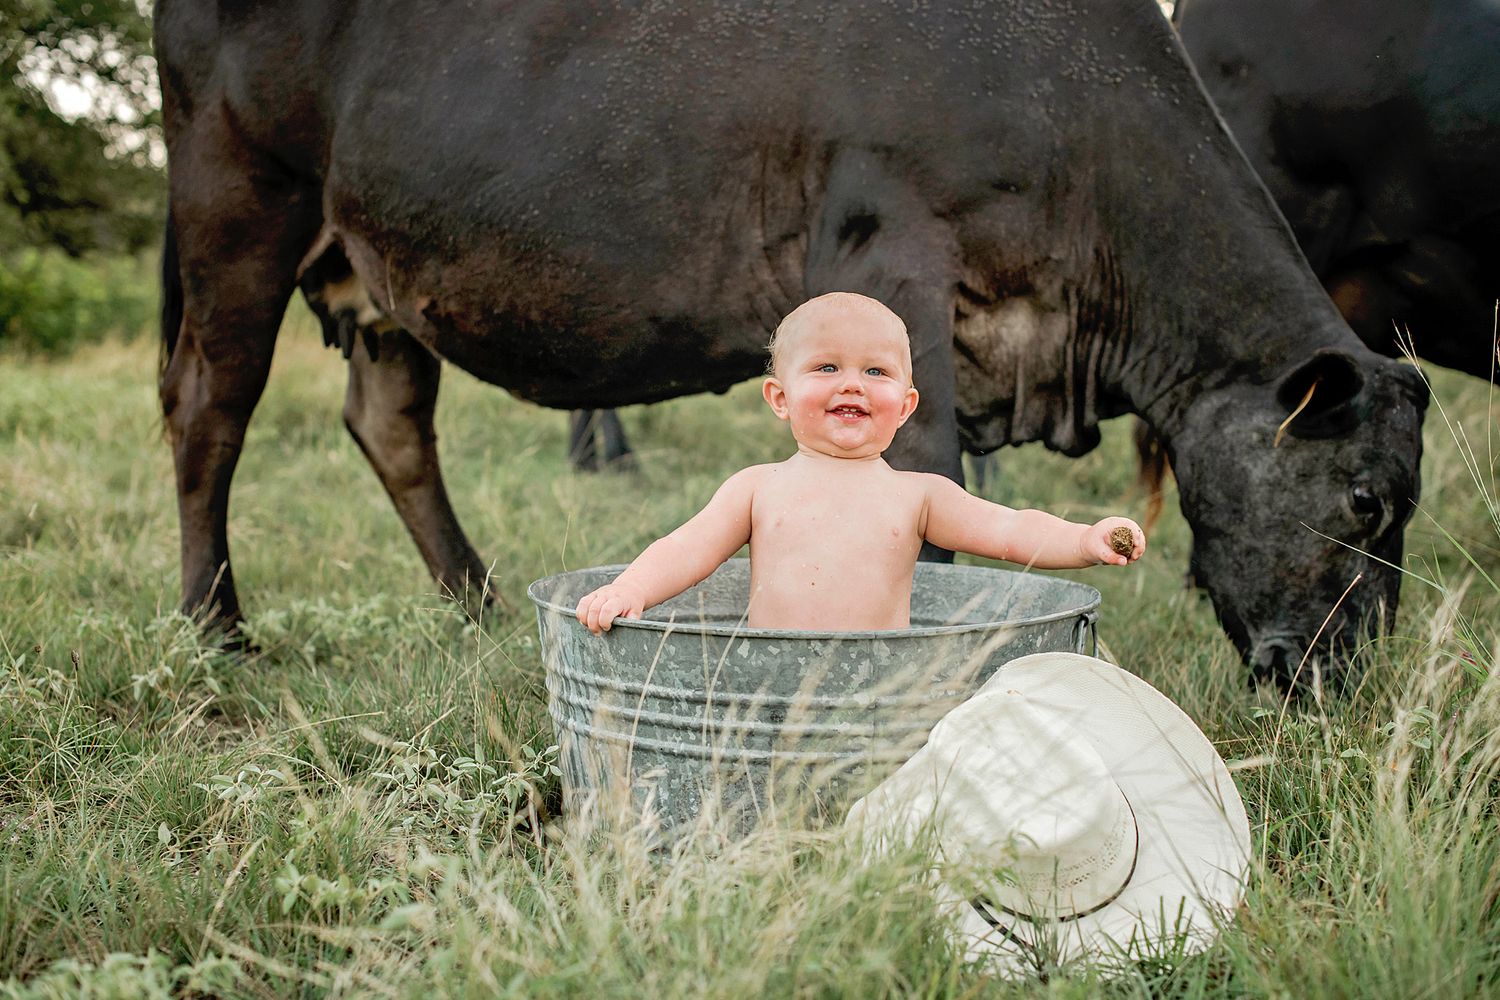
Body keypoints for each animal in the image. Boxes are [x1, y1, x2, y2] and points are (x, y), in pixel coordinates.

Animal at [155, 0, 1428, 687]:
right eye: (1364, 499)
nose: (1346, 676)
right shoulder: (888, 259)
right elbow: (925, 492)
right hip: (237, 202)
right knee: (210, 409)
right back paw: (219, 629)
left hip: (378, 268)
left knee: (390, 422)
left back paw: (475, 603)